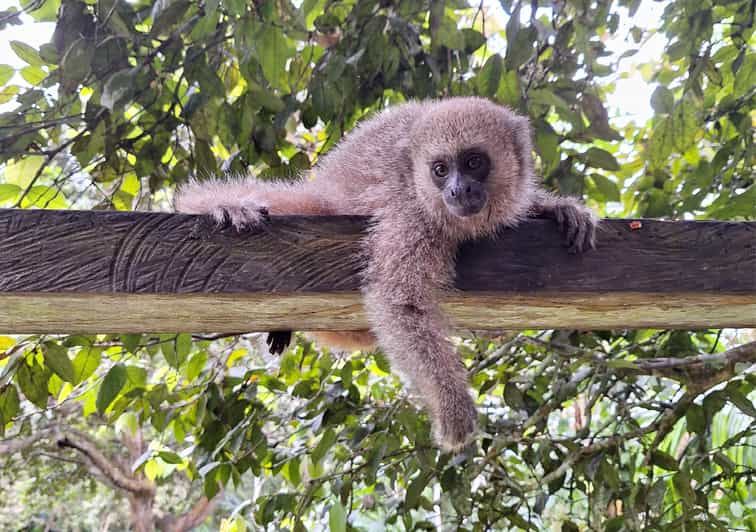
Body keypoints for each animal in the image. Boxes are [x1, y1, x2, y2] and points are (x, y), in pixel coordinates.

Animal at [175, 97, 597, 451]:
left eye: (474, 163)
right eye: (440, 170)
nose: (458, 190)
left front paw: (556, 208)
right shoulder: (413, 216)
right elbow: (401, 303)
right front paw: (451, 404)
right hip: (320, 204)